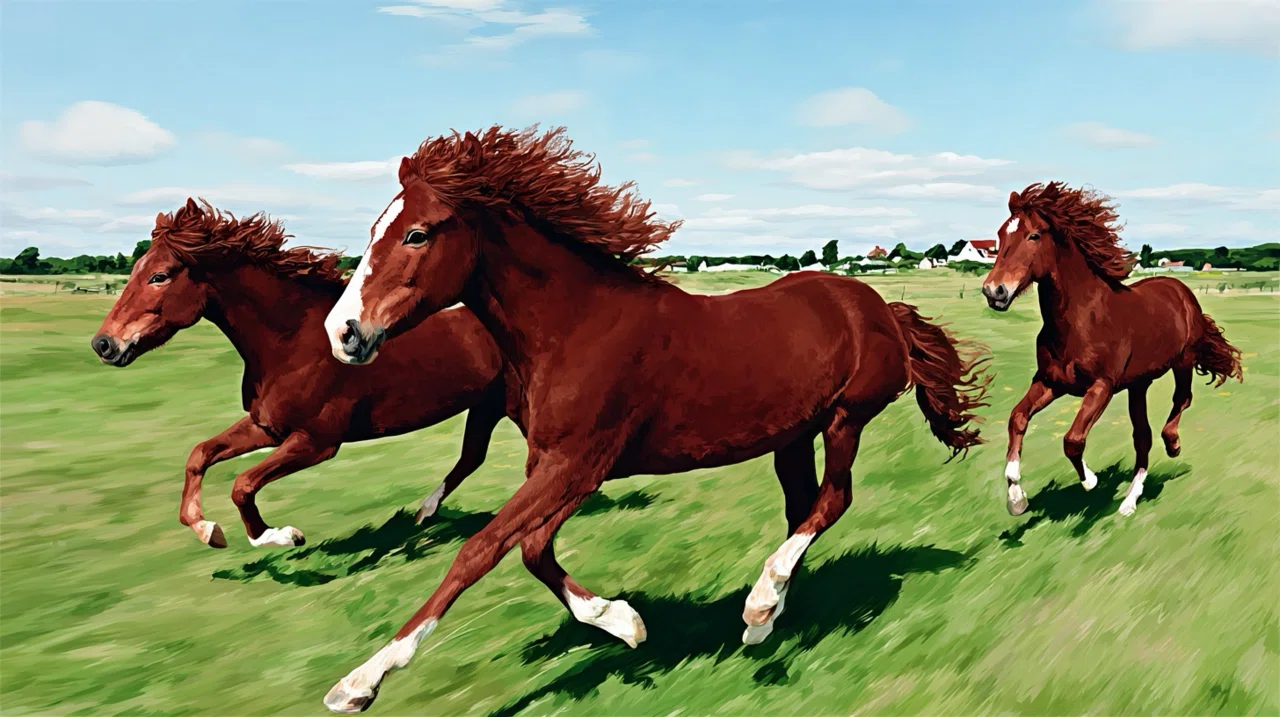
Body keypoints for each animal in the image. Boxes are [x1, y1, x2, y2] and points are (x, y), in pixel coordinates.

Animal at [91, 199, 523, 549]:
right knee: (472, 456)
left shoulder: (316, 441)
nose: (103, 344)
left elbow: (242, 484)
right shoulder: (267, 426)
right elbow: (200, 454)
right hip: (487, 405)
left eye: (159, 276)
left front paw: (278, 536)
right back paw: (425, 512)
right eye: (136, 269)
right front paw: (208, 529)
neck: (292, 342)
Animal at [317, 126, 991, 713]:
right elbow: (532, 548)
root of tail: (879, 305)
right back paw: (768, 617)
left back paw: (757, 607)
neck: (576, 326)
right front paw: (628, 624)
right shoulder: (561, 467)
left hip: (846, 418)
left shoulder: (577, 464)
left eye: (416, 234)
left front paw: (358, 684)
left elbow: (479, 550)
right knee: (804, 507)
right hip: (792, 436)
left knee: (835, 500)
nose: (342, 333)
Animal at [981, 182, 1243, 518]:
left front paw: (1090, 481)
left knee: (1181, 400)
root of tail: (1181, 290)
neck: (1081, 321)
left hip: (1182, 362)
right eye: (1001, 235)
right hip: (1138, 385)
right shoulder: (1050, 383)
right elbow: (1017, 419)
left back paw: (1172, 445)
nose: (994, 291)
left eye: (1034, 235)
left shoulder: (1101, 386)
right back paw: (1130, 501)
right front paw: (1016, 500)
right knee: (1142, 437)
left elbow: (1072, 440)